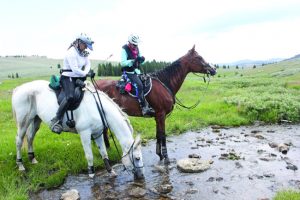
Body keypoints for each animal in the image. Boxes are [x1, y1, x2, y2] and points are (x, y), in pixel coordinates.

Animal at [10, 80, 144, 179]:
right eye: (137, 158)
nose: (141, 176)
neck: (98, 108)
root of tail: (19, 88)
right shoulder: (85, 134)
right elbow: (89, 156)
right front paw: (91, 173)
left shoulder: (98, 133)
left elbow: (104, 153)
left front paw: (110, 171)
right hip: (23, 121)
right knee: (19, 140)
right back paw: (20, 165)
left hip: (36, 119)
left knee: (30, 137)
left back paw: (32, 159)